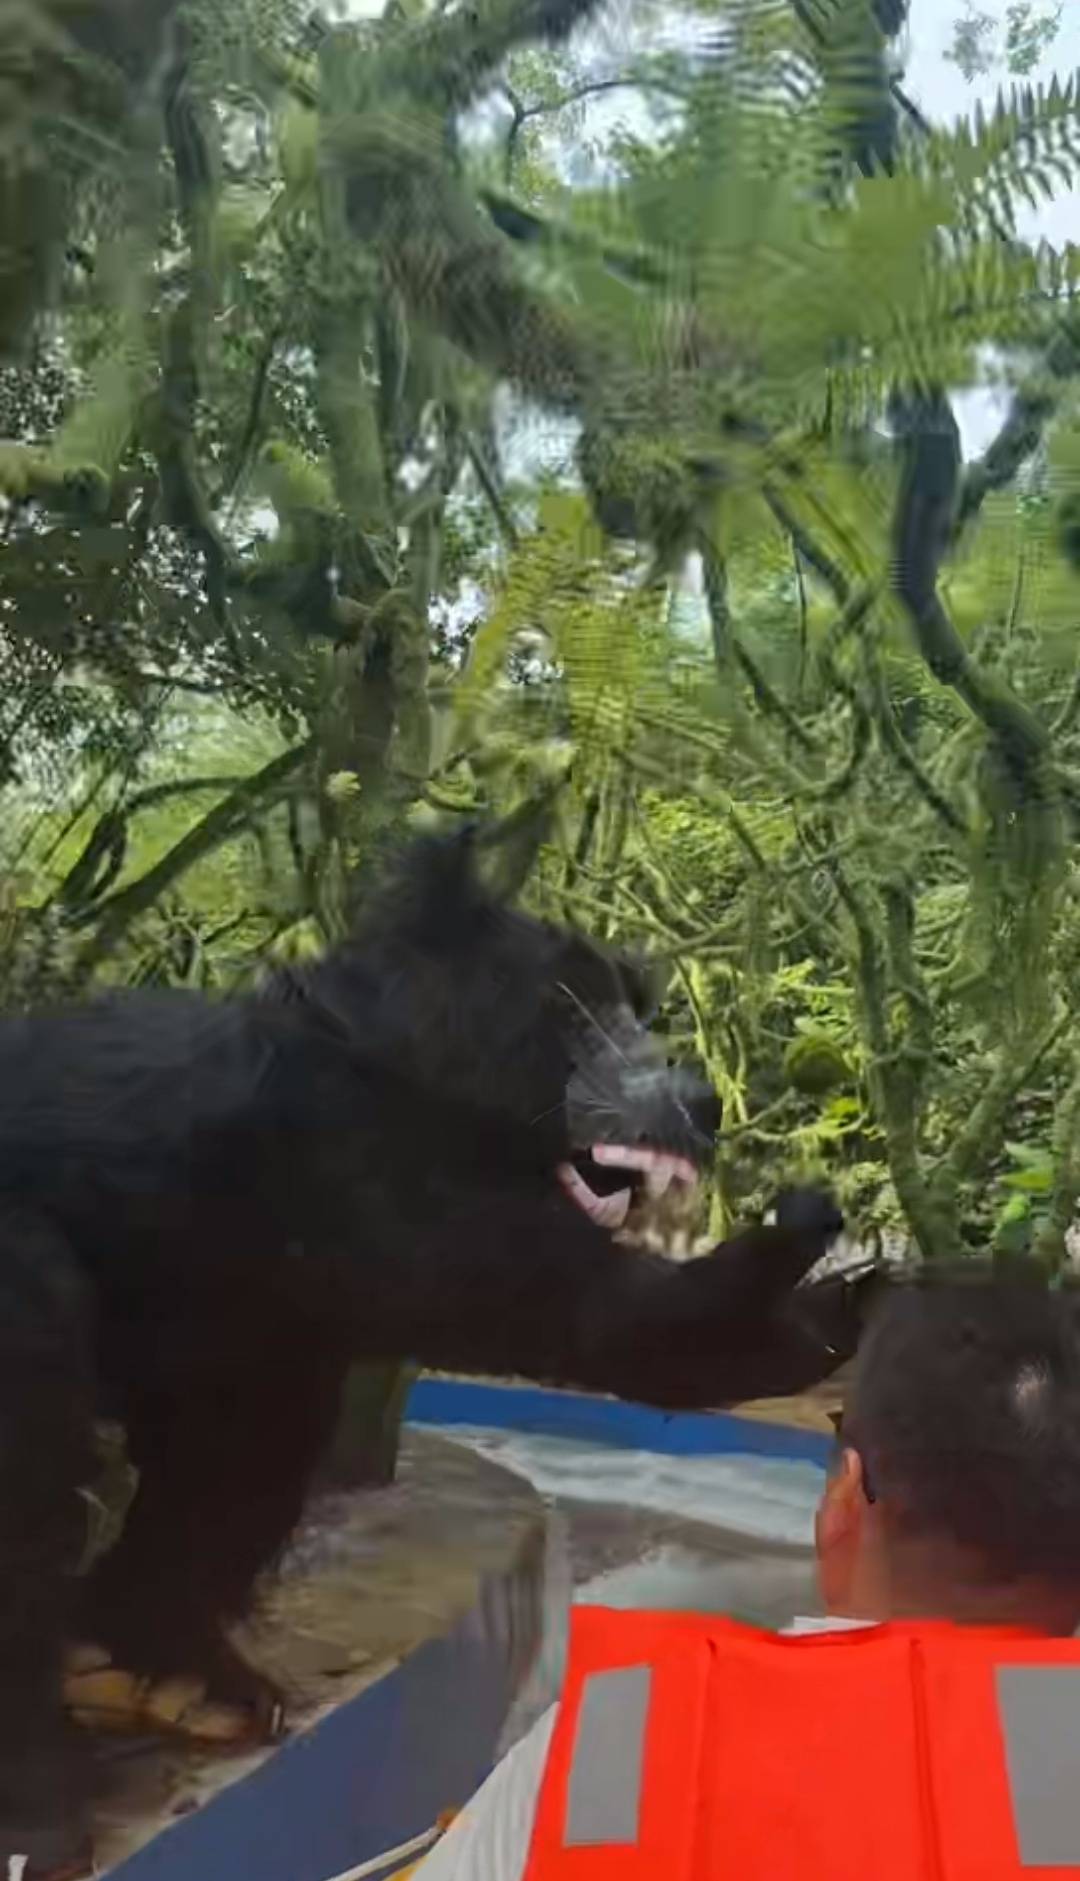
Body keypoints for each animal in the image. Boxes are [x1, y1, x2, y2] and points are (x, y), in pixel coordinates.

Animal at [0, 831, 860, 1876]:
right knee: (32, 1416)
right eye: (574, 1011)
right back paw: (43, 1800)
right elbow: (568, 1301)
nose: (701, 1100)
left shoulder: (267, 1305)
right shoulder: (353, 1166)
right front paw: (809, 1247)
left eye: (641, 1007)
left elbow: (234, 1458)